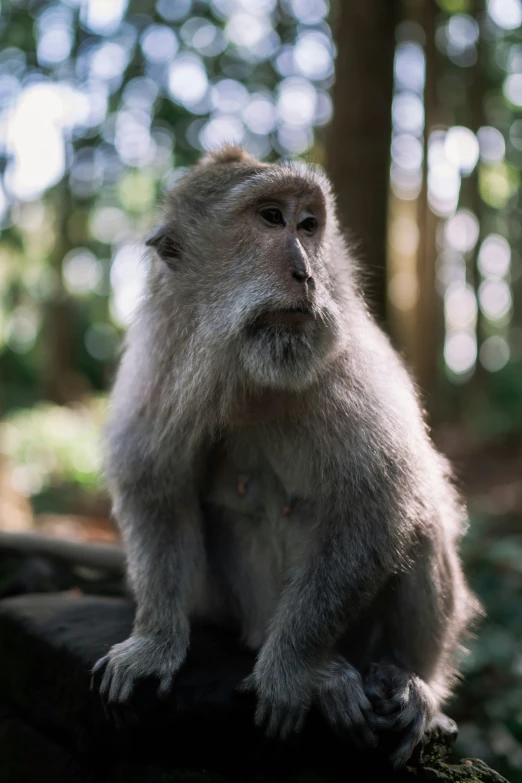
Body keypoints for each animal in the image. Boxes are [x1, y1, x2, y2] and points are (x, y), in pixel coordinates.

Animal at [88, 144, 476, 768]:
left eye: (309, 225)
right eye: (271, 218)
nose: (307, 273)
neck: (255, 372)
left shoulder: (345, 366)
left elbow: (377, 502)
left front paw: (292, 668)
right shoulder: (164, 364)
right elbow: (156, 488)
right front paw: (153, 642)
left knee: (420, 517)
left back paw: (406, 685)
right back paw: (330, 674)